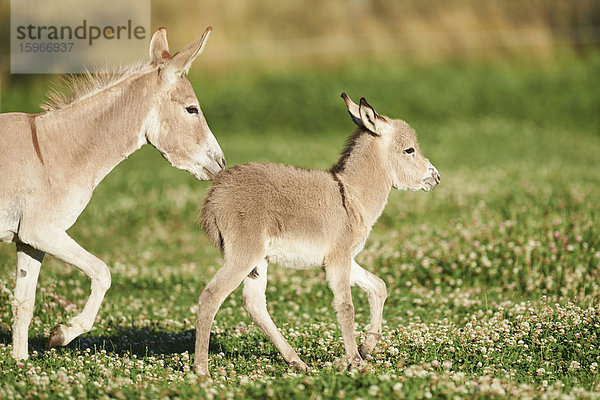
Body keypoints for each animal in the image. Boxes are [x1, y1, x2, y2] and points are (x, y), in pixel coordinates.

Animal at [193, 92, 440, 376]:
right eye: (409, 150)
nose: (436, 177)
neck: (352, 195)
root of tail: (214, 196)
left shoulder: (341, 258)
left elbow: (378, 286)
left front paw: (365, 348)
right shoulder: (338, 258)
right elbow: (346, 307)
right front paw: (355, 361)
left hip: (258, 260)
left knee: (253, 303)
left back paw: (296, 361)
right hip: (244, 254)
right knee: (211, 296)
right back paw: (201, 370)